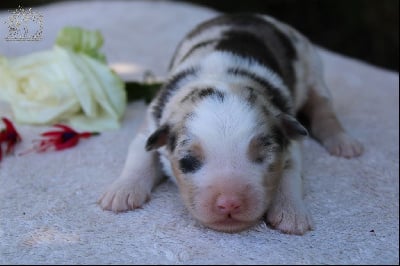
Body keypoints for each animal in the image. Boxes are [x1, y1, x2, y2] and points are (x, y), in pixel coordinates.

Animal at [97, 13, 362, 235]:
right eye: (188, 161)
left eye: (263, 156)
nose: (229, 203)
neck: (222, 76)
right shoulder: (154, 123)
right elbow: (140, 155)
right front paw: (121, 192)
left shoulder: (289, 135)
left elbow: (290, 171)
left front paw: (291, 214)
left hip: (313, 69)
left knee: (323, 108)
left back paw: (344, 143)